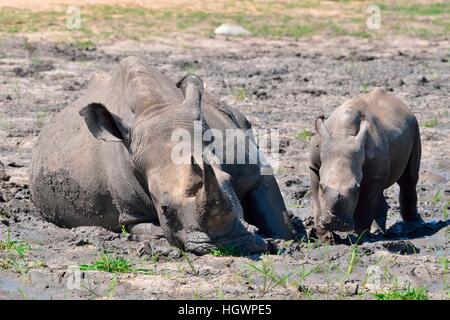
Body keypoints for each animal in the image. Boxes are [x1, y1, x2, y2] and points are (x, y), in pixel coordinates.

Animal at [310, 87, 422, 238]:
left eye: (356, 188)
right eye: (322, 187)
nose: (336, 223)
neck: (343, 134)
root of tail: (404, 106)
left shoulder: (373, 176)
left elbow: (365, 207)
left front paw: (360, 238)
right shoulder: (314, 166)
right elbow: (317, 202)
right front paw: (326, 237)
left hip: (415, 126)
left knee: (409, 179)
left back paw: (412, 226)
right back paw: (381, 230)